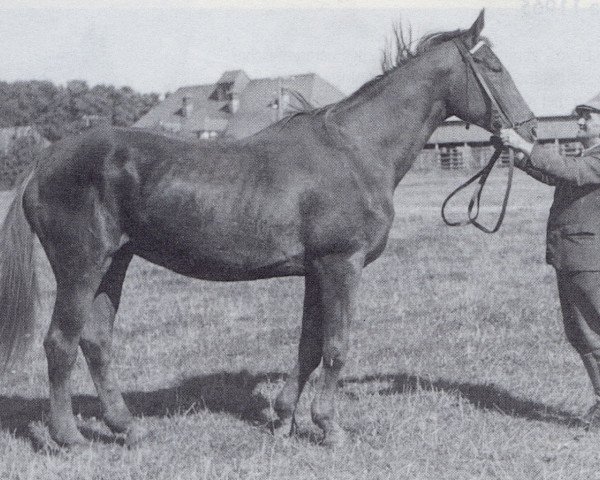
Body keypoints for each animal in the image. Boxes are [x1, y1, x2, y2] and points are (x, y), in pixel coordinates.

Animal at [0, 9, 536, 448]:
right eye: (493, 67)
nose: (529, 133)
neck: (354, 150)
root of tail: (44, 161)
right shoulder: (342, 266)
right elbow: (336, 347)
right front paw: (330, 427)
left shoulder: (317, 272)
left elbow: (309, 346)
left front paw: (284, 419)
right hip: (81, 268)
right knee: (60, 344)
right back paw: (68, 437)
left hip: (115, 263)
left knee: (95, 342)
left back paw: (128, 428)